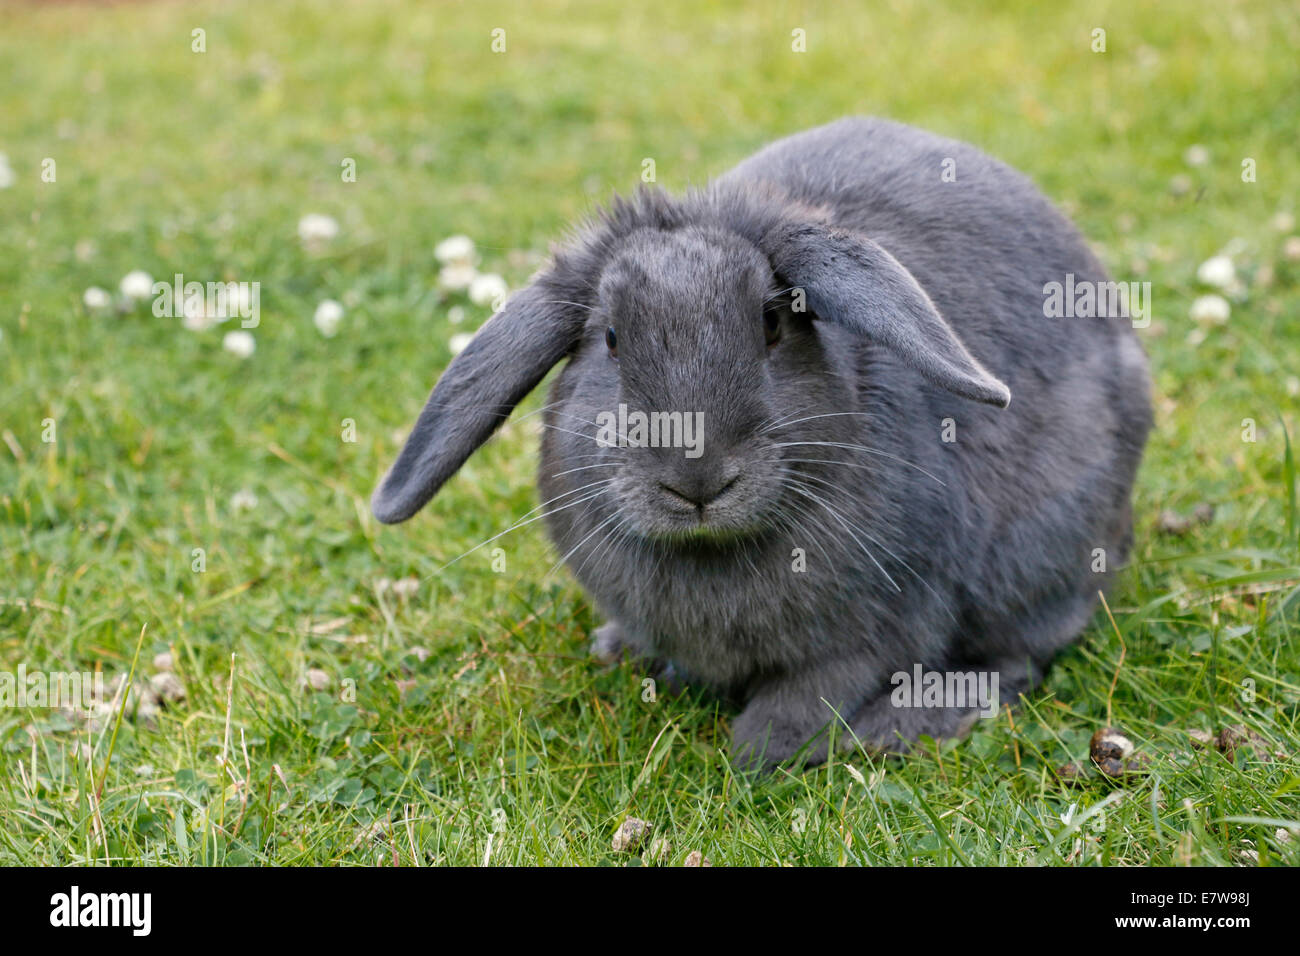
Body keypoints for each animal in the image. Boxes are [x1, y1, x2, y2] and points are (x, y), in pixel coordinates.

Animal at [371, 119, 1154, 775]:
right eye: (612, 340)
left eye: (773, 324)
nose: (697, 481)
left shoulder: (880, 629)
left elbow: (821, 687)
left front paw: (759, 750)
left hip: (1038, 560)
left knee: (1017, 661)